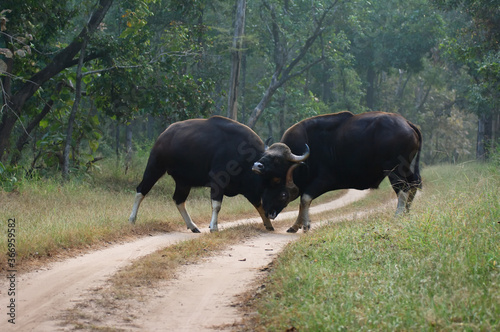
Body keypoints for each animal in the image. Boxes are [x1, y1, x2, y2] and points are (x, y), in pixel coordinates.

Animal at [129, 116, 274, 233]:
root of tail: (164, 134)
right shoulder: (218, 179)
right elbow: (217, 205)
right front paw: (214, 227)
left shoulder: (250, 190)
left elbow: (258, 204)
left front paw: (269, 225)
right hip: (155, 166)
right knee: (141, 190)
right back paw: (132, 219)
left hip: (183, 181)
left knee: (179, 200)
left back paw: (193, 226)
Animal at [252, 110, 420, 232]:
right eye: (265, 155)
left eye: (277, 160)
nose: (256, 165)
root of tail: (408, 124)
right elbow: (302, 201)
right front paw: (295, 226)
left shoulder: (323, 180)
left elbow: (305, 199)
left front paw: (306, 225)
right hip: (405, 168)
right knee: (414, 183)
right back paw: (407, 212)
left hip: (394, 170)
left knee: (402, 189)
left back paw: (398, 215)